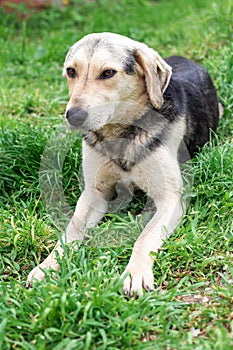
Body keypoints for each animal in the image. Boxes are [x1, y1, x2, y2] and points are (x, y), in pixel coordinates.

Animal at [26, 32, 223, 296]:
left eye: (108, 73)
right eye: (70, 71)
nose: (73, 116)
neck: (119, 133)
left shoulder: (171, 197)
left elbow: (145, 237)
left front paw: (135, 274)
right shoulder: (95, 192)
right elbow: (72, 229)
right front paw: (48, 266)